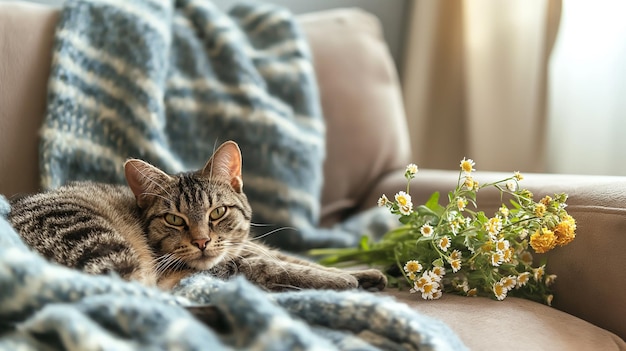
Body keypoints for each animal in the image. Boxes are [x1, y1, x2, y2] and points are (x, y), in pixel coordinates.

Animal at [7, 142, 382, 292]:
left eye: (217, 212)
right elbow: (280, 267)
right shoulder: (232, 264)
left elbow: (296, 258)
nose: (202, 241)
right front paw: (342, 281)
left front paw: (364, 273)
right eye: (174, 219)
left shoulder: (252, 247)